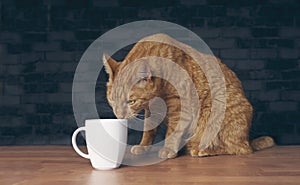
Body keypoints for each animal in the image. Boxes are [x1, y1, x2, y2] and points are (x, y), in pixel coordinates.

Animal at [103, 33, 274, 159]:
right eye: (112, 100)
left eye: (130, 101)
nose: (119, 115)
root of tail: (248, 139)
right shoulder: (151, 109)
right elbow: (148, 129)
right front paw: (143, 146)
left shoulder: (179, 104)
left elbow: (173, 131)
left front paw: (168, 150)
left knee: (238, 149)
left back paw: (201, 150)